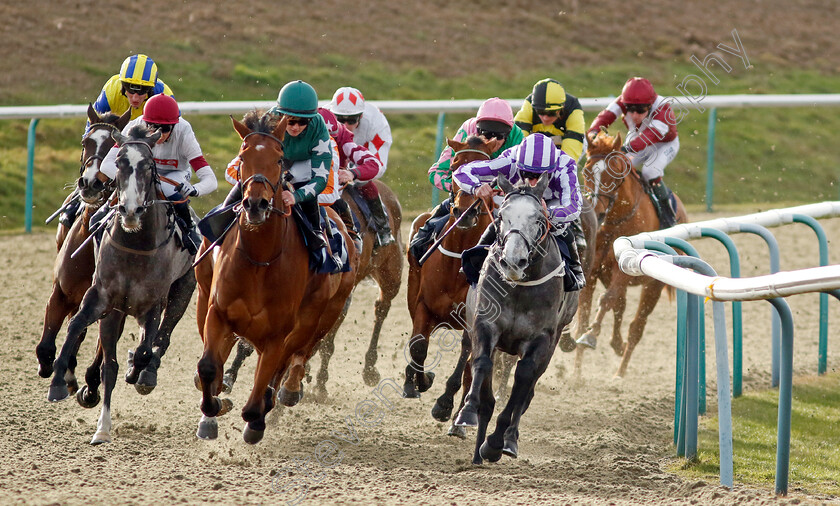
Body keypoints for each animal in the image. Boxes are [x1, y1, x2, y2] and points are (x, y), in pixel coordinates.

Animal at [46, 124, 196, 444]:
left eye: (149, 166)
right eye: (119, 163)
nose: (130, 210)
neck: (135, 246)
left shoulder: (152, 305)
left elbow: (144, 349)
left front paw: (138, 371)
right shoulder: (101, 297)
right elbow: (76, 327)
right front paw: (58, 382)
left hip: (182, 292)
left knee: (161, 339)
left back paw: (144, 373)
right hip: (115, 313)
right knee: (110, 364)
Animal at [194, 110, 358, 442]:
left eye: (279, 159)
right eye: (242, 156)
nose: (256, 204)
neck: (260, 259)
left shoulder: (279, 333)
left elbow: (264, 382)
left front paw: (255, 420)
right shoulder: (218, 312)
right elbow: (208, 366)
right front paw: (214, 407)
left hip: (324, 314)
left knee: (296, 358)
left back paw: (286, 392)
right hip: (204, 296)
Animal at [402, 134, 498, 400]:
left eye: (487, 170)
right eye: (455, 168)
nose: (464, 211)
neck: (458, 261)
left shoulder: (474, 316)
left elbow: (467, 352)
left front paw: (444, 401)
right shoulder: (423, 305)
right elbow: (418, 345)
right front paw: (418, 382)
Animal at [452, 175, 576, 466]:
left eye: (539, 219)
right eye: (500, 216)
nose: (512, 261)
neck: (519, 287)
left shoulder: (541, 340)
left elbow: (523, 379)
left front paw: (499, 442)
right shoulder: (485, 325)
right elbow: (482, 364)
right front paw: (467, 412)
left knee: (527, 390)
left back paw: (503, 441)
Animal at [576, 130, 688, 376]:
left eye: (613, 173)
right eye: (586, 171)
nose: (596, 212)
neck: (614, 223)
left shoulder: (623, 271)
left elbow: (606, 300)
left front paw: (590, 335)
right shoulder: (593, 272)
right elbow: (585, 311)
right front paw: (575, 373)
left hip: (653, 285)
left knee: (636, 326)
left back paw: (619, 373)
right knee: (621, 305)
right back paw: (616, 344)